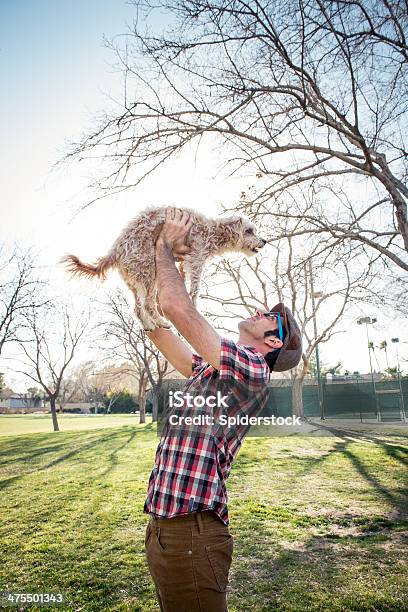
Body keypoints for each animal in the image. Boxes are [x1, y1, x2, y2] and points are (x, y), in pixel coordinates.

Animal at [60, 206, 264, 330]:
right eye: (249, 231)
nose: (264, 241)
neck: (212, 231)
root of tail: (116, 249)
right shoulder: (196, 259)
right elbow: (195, 289)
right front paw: (194, 305)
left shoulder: (183, 262)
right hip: (150, 274)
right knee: (148, 305)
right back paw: (161, 322)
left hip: (136, 281)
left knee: (137, 308)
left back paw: (150, 325)